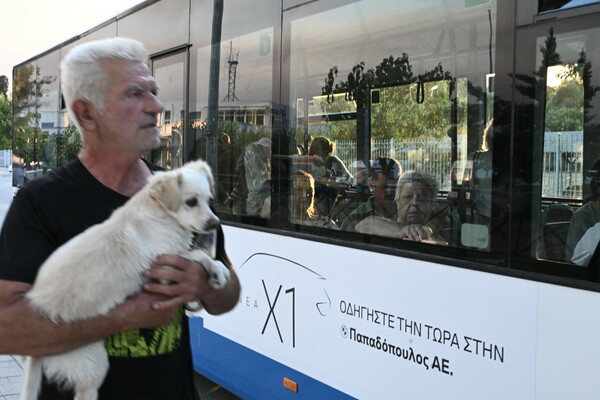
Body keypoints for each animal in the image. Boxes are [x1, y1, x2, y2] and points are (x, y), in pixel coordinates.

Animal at [18, 159, 230, 400]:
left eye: (209, 201)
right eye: (191, 202)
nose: (215, 223)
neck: (162, 214)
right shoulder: (163, 264)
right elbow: (196, 255)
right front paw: (218, 270)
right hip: (93, 363)